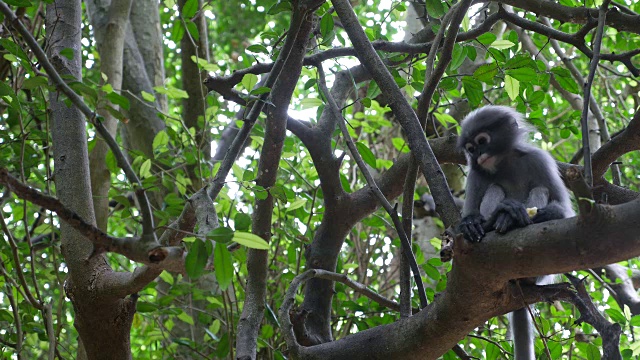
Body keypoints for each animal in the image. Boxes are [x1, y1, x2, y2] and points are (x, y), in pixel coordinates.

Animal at [458, 105, 572, 360]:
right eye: (470, 149)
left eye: (482, 141)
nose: (477, 154)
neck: (504, 163)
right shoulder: (476, 174)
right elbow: (468, 217)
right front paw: (475, 223)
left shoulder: (540, 159)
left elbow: (565, 211)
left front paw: (531, 215)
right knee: (494, 187)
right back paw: (497, 221)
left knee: (540, 188)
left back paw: (516, 221)